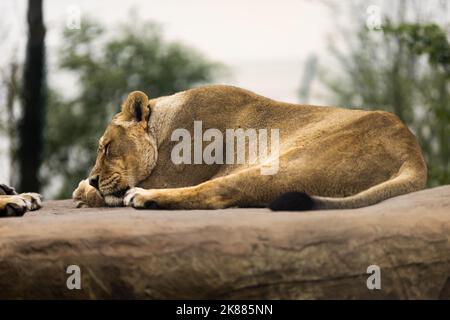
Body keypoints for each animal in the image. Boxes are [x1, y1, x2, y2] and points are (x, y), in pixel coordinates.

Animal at [72, 85, 428, 210]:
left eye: (106, 148)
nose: (93, 178)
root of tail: (412, 148)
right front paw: (85, 188)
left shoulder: (170, 176)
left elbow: (106, 193)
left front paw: (84, 190)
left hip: (285, 164)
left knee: (217, 194)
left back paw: (143, 198)